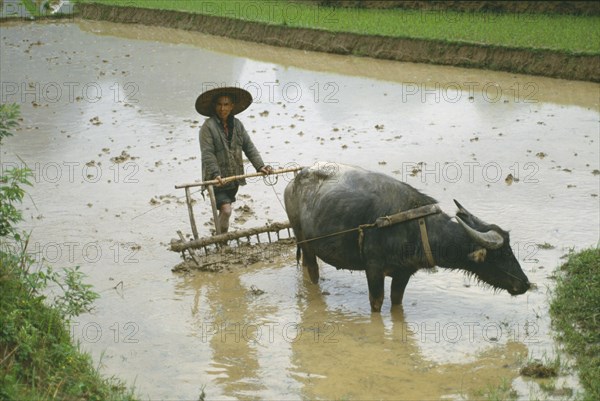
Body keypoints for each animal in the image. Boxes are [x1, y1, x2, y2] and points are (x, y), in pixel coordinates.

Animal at [284, 161, 532, 310]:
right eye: (501, 255)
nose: (525, 283)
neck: (415, 227)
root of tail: (294, 181)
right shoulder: (373, 269)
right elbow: (377, 302)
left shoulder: (404, 273)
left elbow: (397, 302)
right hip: (303, 238)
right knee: (312, 270)